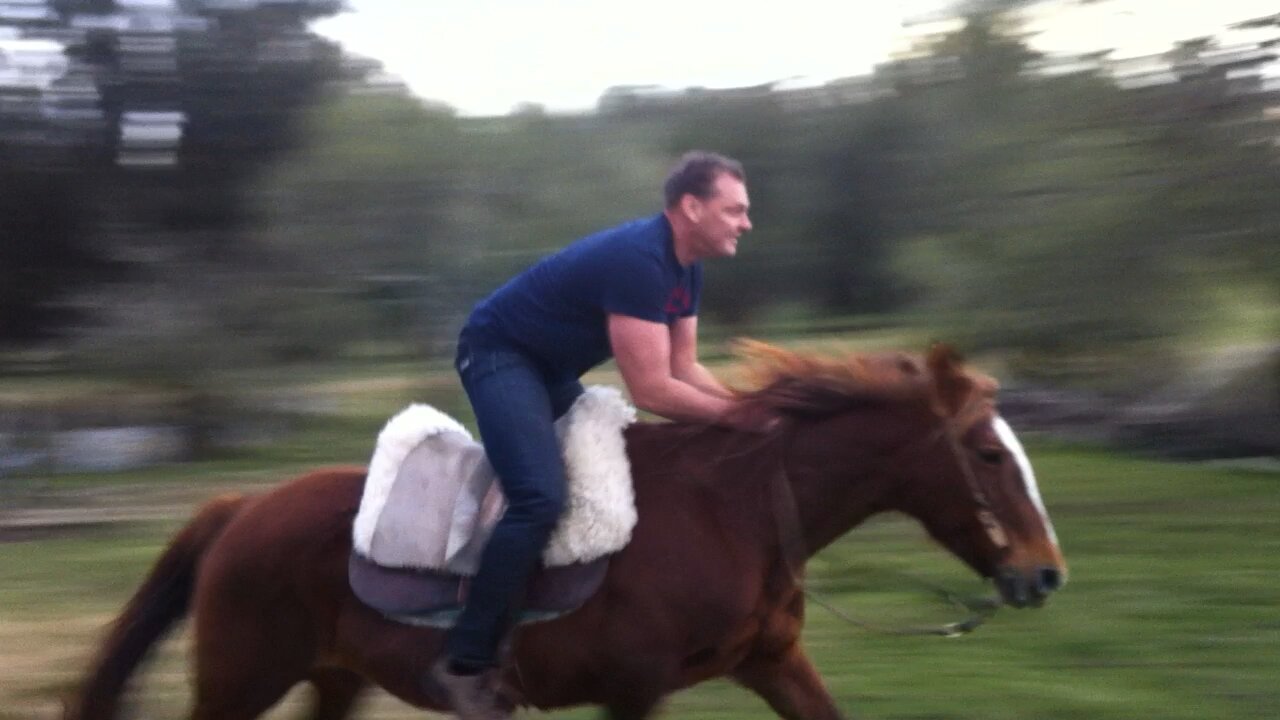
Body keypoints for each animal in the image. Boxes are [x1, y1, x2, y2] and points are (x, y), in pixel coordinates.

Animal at [67, 340, 1070, 717]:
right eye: (989, 453)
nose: (1046, 573)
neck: (738, 512)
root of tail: (239, 509)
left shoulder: (773, 663)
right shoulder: (635, 688)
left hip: (332, 677)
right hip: (242, 680)